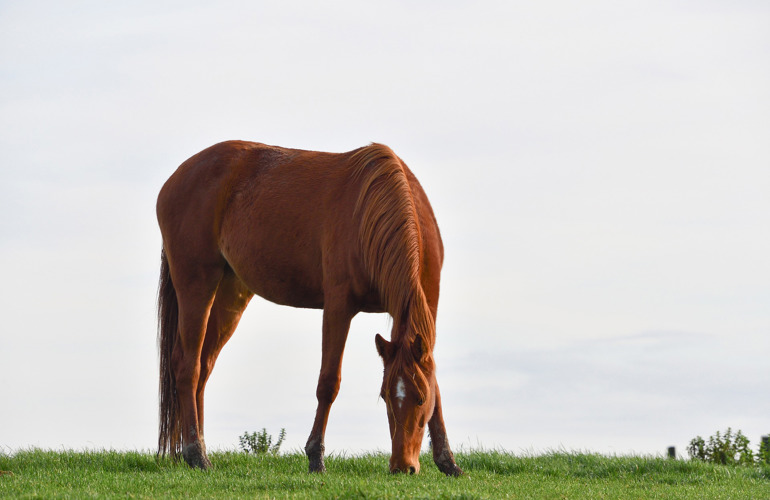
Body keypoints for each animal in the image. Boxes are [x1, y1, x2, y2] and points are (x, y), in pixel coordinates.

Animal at [153, 141, 460, 476]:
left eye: (419, 399)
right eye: (385, 397)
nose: (402, 466)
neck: (376, 208)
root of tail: (176, 178)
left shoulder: (426, 309)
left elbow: (436, 385)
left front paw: (447, 460)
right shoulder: (338, 307)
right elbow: (328, 382)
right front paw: (315, 456)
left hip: (229, 293)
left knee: (204, 366)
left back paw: (198, 448)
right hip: (196, 285)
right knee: (188, 366)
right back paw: (196, 453)